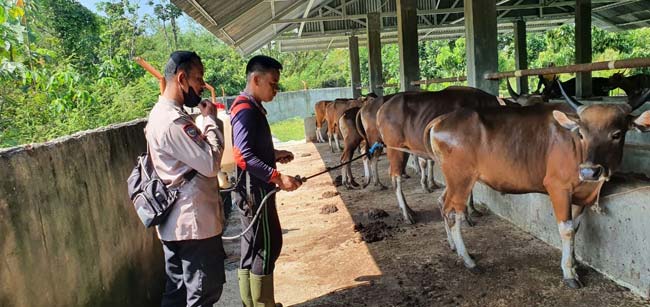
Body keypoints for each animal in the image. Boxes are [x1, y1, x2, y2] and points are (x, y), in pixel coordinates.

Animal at [372, 88, 504, 225]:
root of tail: (382, 109)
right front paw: (467, 215)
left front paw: (471, 210)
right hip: (394, 149)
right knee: (396, 177)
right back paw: (406, 215)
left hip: (404, 150)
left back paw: (409, 210)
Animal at [426, 82, 648, 288]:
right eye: (582, 134)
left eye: (617, 134)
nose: (589, 171)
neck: (575, 147)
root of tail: (440, 120)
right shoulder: (558, 188)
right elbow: (567, 229)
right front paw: (569, 272)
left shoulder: (580, 195)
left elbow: (576, 228)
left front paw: (575, 263)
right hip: (461, 179)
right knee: (453, 213)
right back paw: (468, 260)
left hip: (455, 180)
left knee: (442, 203)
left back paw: (453, 247)